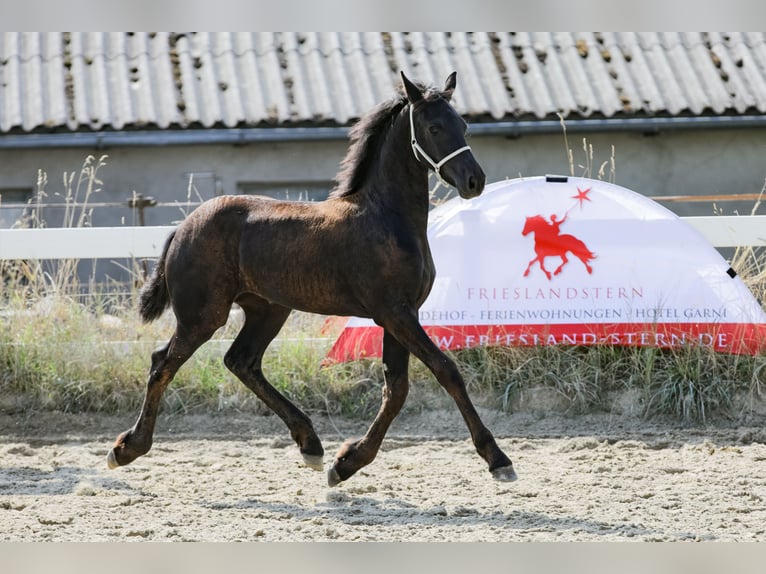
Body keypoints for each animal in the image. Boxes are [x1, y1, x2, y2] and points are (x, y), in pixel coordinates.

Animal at [106, 71, 516, 486]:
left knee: (241, 361)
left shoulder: (400, 315)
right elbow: (445, 371)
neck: (386, 217)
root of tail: (182, 228)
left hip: (267, 310)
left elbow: (396, 388)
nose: (474, 181)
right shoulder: (395, 313)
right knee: (163, 362)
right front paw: (498, 459)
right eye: (434, 127)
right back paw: (126, 448)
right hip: (203, 315)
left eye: (463, 125)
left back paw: (311, 445)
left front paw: (346, 463)